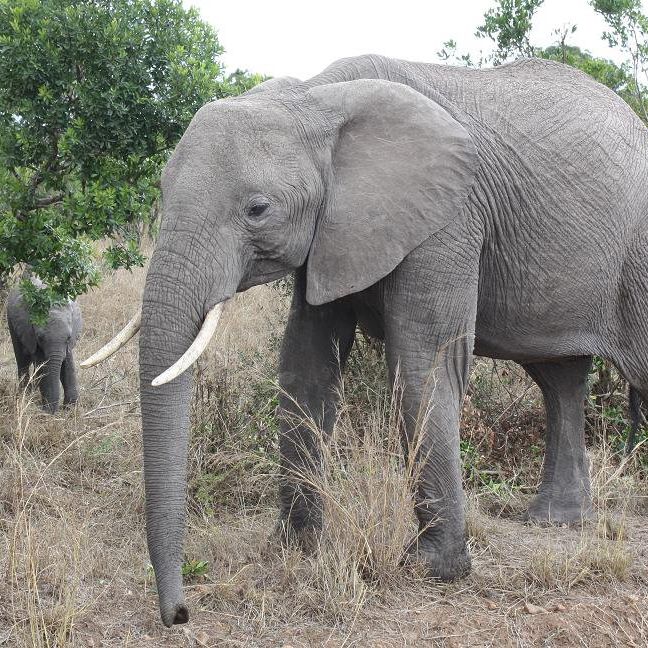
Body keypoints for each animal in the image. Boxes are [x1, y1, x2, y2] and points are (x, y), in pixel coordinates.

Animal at [6, 280, 82, 412]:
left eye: (68, 338)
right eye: (40, 338)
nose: (53, 410)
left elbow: (68, 365)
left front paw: (70, 409)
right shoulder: (31, 333)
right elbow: (44, 367)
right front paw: (48, 411)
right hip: (11, 322)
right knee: (22, 360)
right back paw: (25, 395)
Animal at [83, 57, 648, 628]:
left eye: (258, 209)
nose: (180, 614)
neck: (315, 97)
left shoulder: (448, 220)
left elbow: (421, 361)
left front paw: (434, 570)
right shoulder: (335, 233)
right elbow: (306, 362)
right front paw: (296, 550)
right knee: (560, 379)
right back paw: (556, 522)